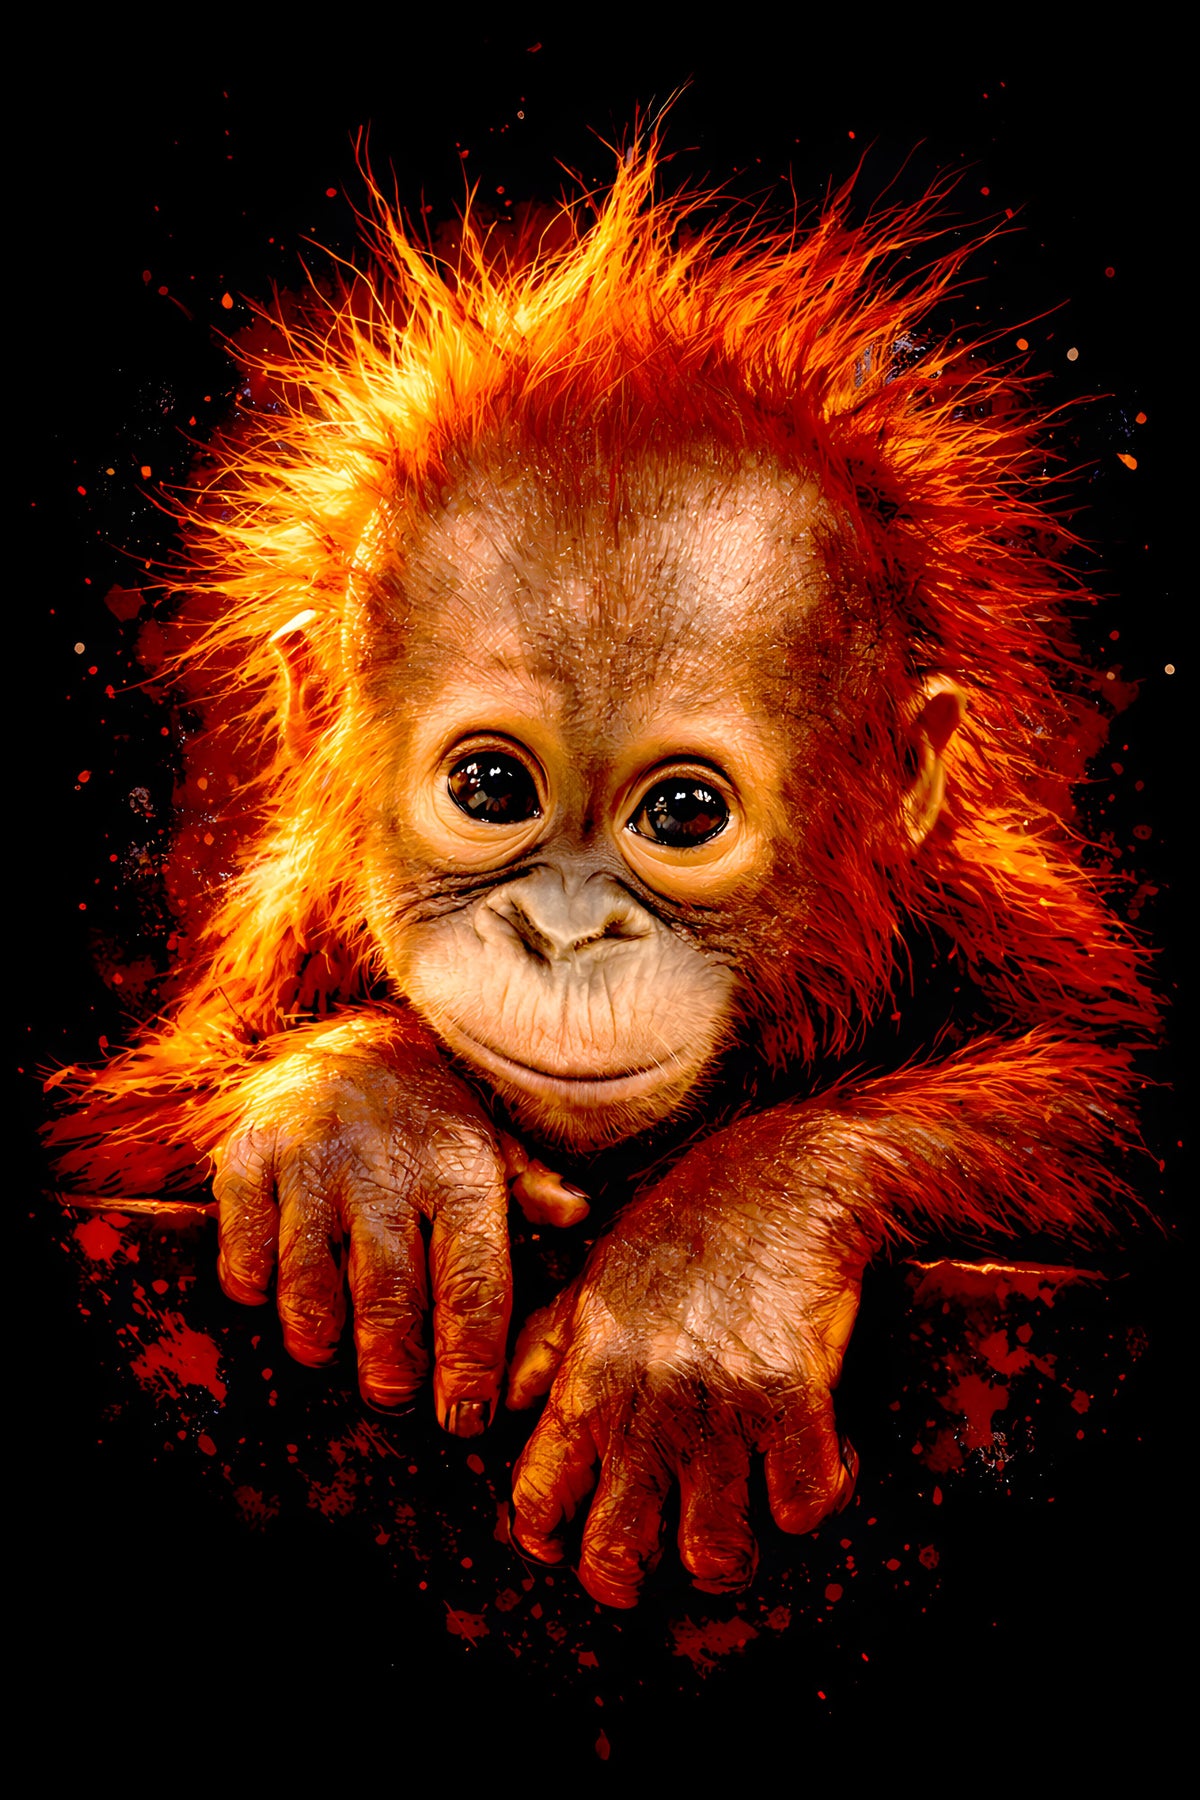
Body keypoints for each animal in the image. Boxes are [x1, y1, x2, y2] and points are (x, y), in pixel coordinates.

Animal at [50, 145, 1156, 1610]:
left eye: (682, 812)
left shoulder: (978, 914)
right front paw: (369, 1127)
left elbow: (1112, 1097)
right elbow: (127, 1117)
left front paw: (707, 1278)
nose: (565, 934)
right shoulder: (289, 937)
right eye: (488, 789)